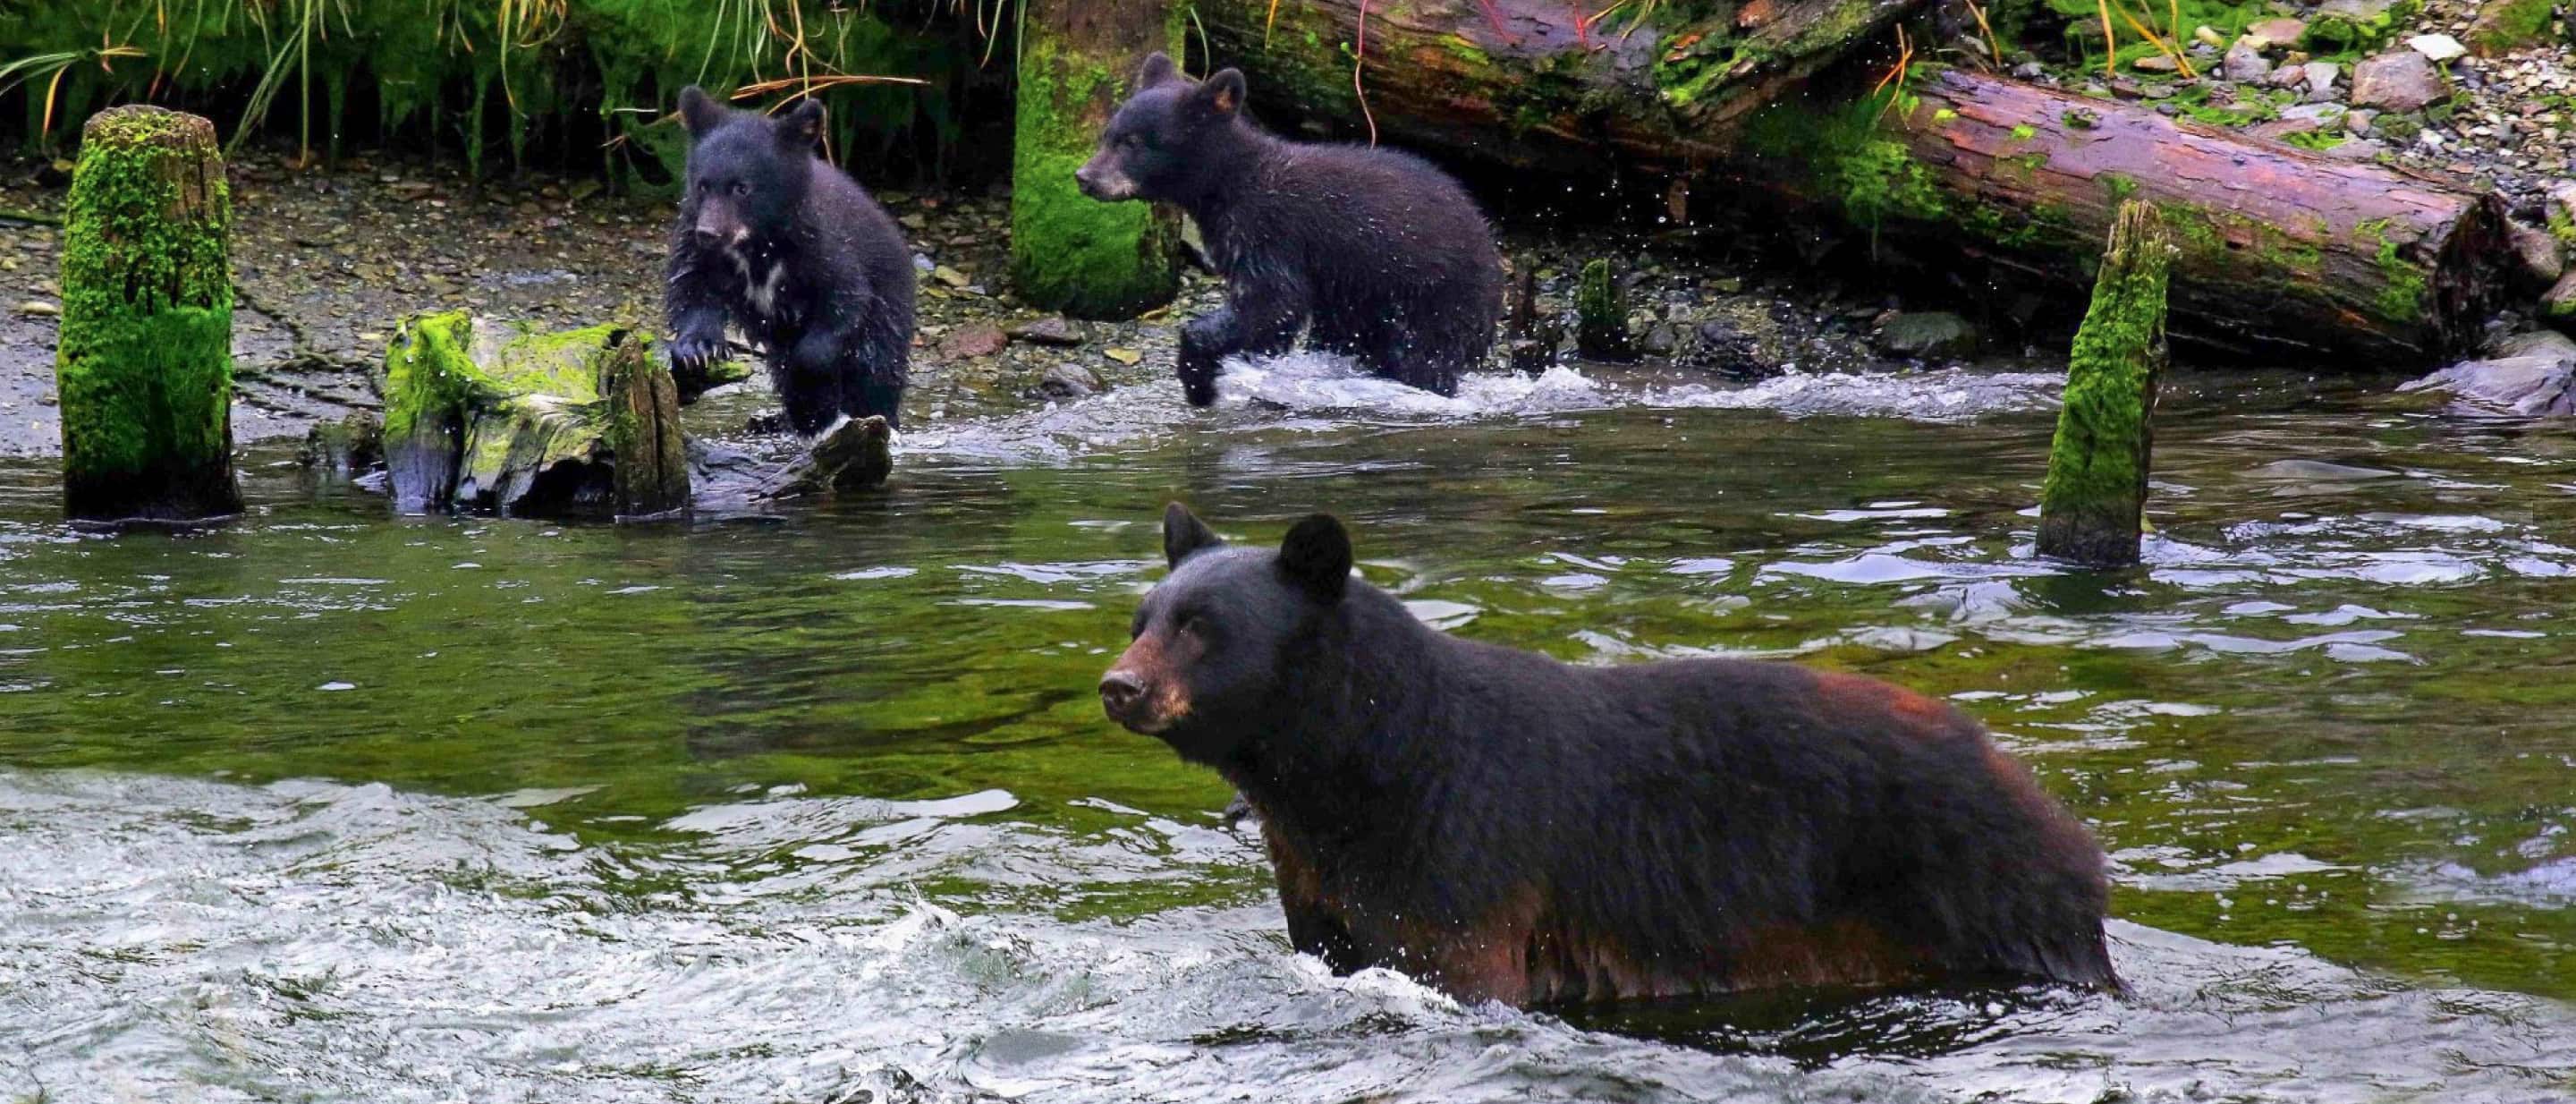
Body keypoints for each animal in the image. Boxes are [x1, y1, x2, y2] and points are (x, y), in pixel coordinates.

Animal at [665, 87, 916, 435]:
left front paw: (808, 382)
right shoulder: (693, 234)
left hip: (889, 305)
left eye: (742, 188)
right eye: (703, 184)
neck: (758, 242)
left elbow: (844, 299)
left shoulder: (821, 247)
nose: (709, 233)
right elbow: (690, 284)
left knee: (875, 370)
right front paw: (696, 349)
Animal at [1075, 54, 1504, 406]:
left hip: (1437, 298)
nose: (1084, 177)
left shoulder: (1269, 232)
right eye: (1108, 135)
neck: (1229, 183)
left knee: (1425, 358)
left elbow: (1275, 302)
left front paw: (1200, 381)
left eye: (1133, 142)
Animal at [1098, 504, 2120, 1007]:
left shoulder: (1463, 857)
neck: (1362, 771)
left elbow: (1459, 961)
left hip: (1980, 896)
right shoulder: (1321, 883)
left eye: (1202, 625)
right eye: (1144, 616)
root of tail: (2060, 818)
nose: (1119, 685)